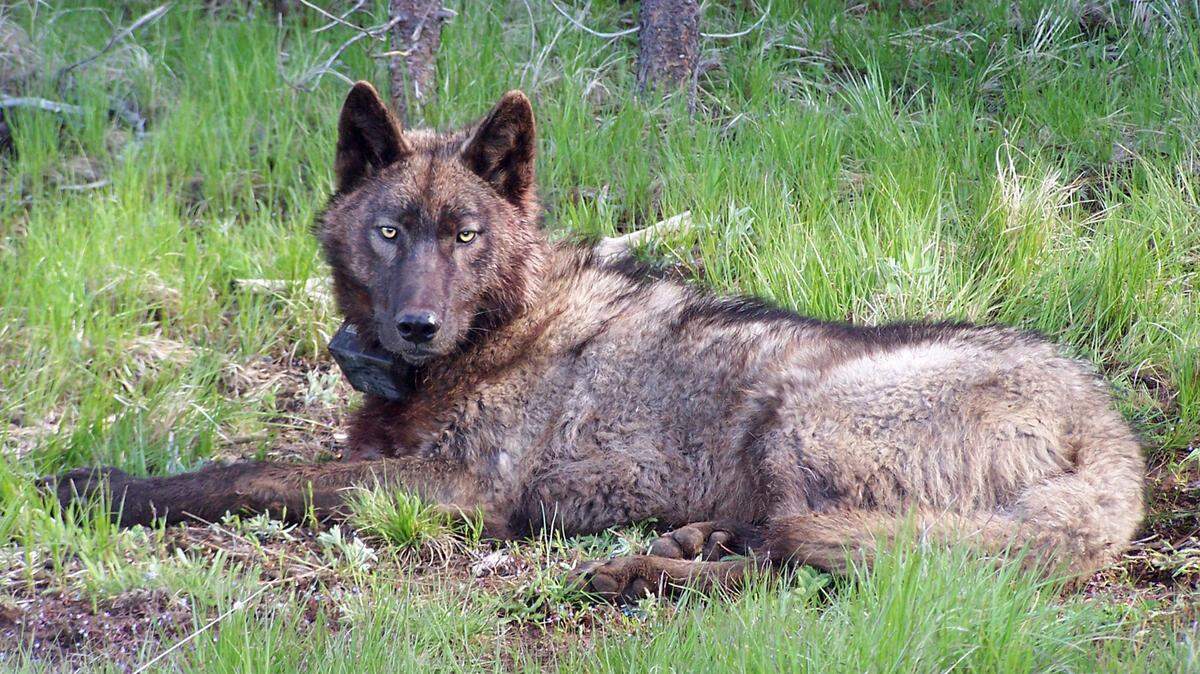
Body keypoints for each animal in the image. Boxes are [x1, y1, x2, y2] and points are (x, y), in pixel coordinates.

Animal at [51, 82, 1145, 602]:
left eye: (466, 235)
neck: (500, 328)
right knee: (806, 547)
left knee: (813, 560)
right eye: (392, 232)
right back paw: (685, 542)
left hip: (795, 411)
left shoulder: (454, 492)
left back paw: (637, 572)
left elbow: (246, 473)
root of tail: (1111, 430)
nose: (416, 325)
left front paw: (100, 485)